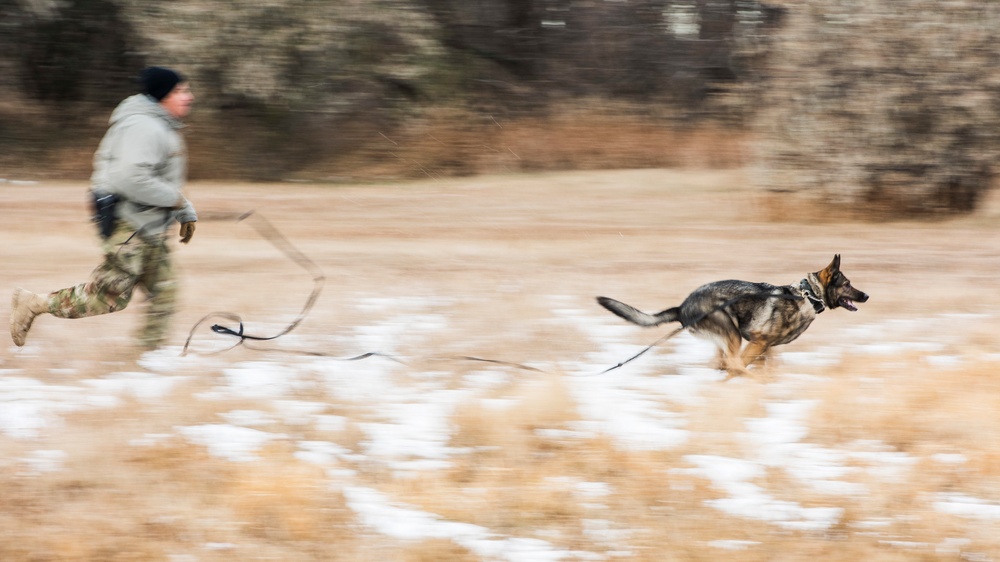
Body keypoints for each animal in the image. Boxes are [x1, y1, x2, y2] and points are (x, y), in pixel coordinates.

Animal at [600, 255, 868, 378]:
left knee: (722, 363)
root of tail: (681, 306)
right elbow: (745, 364)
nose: (866, 296)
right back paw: (747, 378)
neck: (807, 296)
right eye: (847, 284)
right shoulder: (758, 342)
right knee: (732, 363)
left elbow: (770, 365)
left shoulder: (766, 347)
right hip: (731, 332)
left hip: (728, 337)